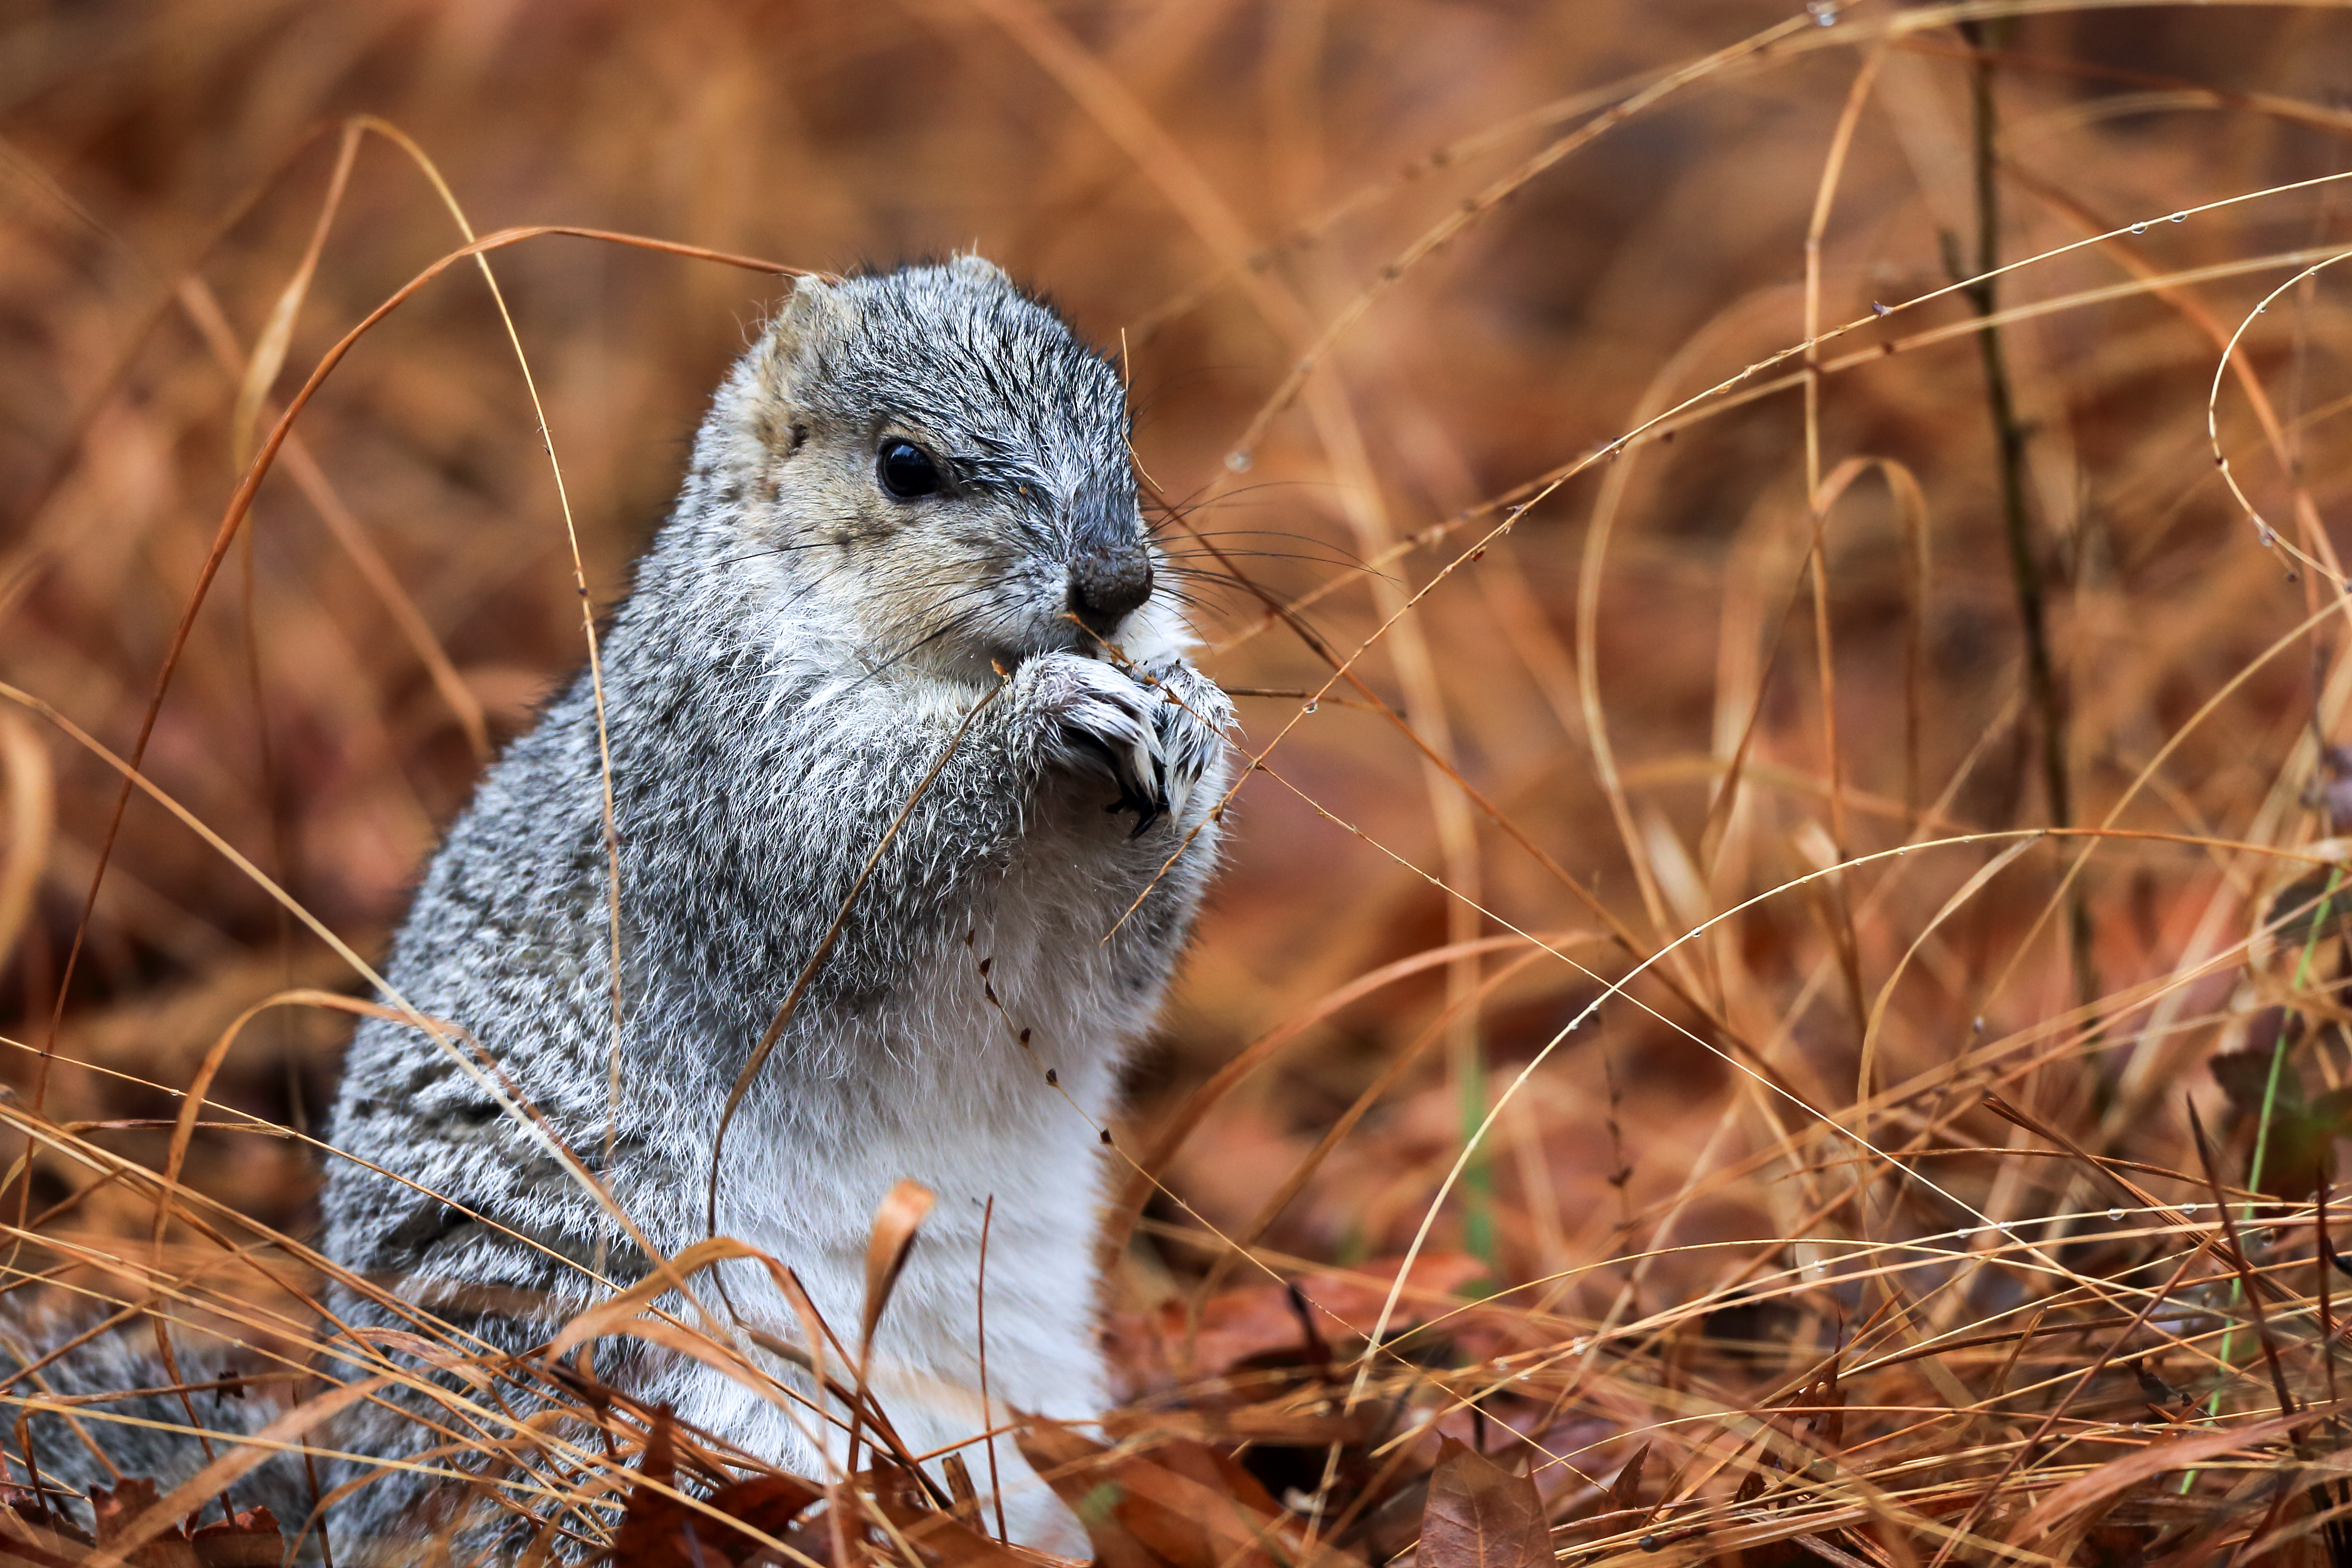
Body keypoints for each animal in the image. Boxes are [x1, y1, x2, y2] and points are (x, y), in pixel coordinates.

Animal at [8, 256, 1232, 1559]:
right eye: (906, 464)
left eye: (1121, 416)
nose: (1119, 585)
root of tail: (356, 1514)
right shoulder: (714, 779)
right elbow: (843, 855)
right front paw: (1040, 713)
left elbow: (1107, 967)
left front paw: (1195, 710)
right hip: (620, 1354)